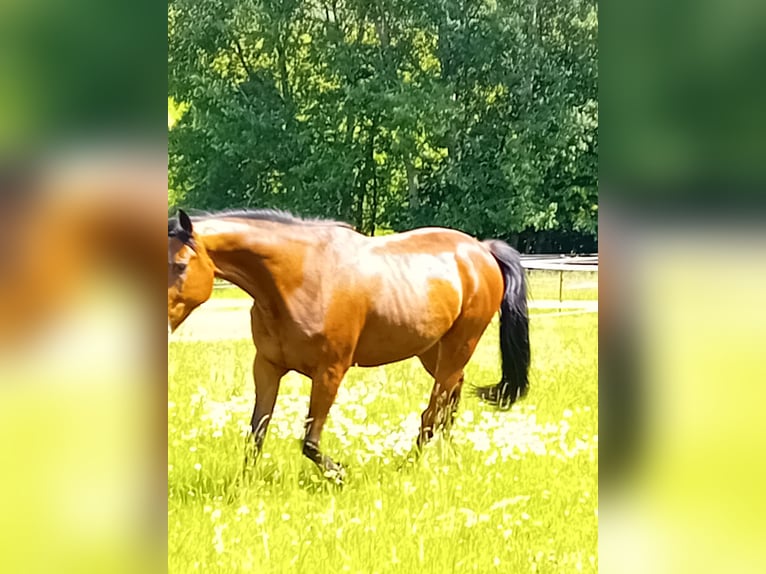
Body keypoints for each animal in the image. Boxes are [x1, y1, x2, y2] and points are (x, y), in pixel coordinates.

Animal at [167, 209, 528, 484]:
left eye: (180, 265)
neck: (297, 278)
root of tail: (481, 249)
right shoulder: (267, 367)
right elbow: (256, 434)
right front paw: (245, 486)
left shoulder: (330, 371)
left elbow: (309, 442)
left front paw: (339, 473)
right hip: (433, 350)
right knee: (450, 400)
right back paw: (446, 455)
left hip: (459, 345)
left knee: (431, 412)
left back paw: (409, 466)